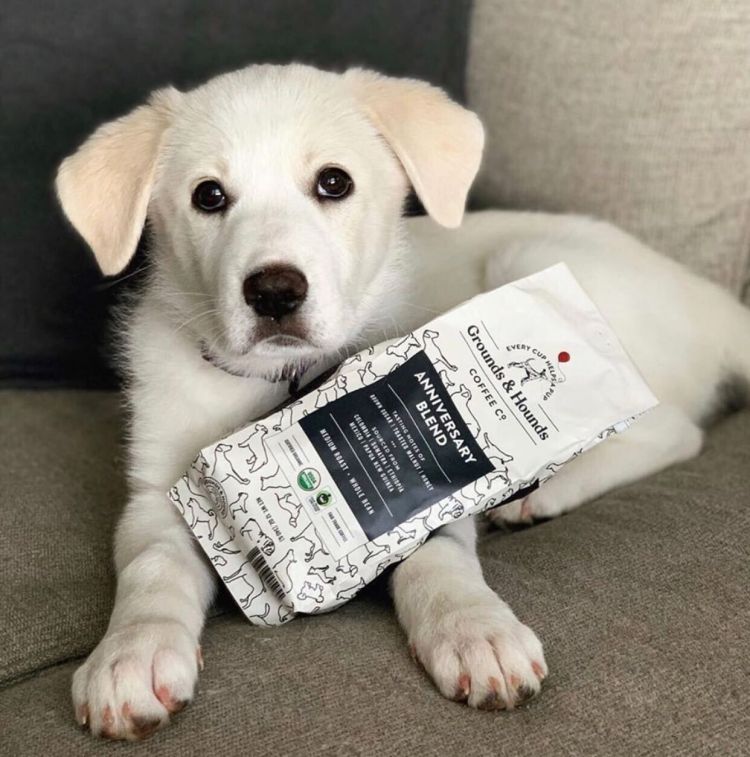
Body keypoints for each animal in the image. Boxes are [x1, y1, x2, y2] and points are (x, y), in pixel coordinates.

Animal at [56, 63, 750, 740]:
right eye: (208, 196)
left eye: (334, 182)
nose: (275, 292)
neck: (278, 380)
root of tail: (709, 296)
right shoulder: (159, 496)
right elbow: (152, 570)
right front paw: (131, 655)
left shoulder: (431, 486)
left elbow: (438, 558)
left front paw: (475, 629)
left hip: (535, 267)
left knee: (674, 431)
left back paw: (541, 494)